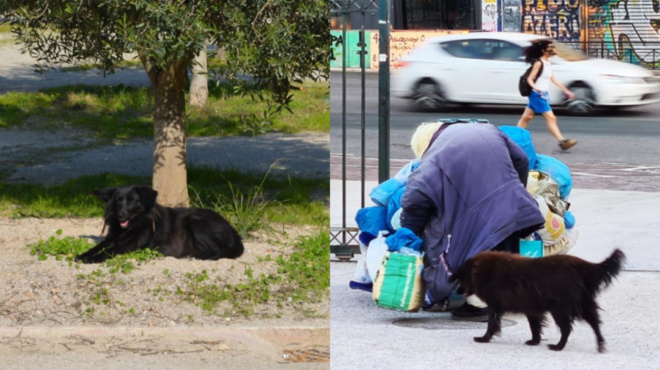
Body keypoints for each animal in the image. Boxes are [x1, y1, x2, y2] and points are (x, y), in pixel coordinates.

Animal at [75, 185, 245, 264]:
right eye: (118, 201)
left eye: (132, 201)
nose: (120, 215)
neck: (133, 225)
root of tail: (234, 232)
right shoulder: (111, 238)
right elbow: (97, 247)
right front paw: (83, 255)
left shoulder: (130, 245)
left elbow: (109, 251)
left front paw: (92, 259)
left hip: (195, 221)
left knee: (216, 250)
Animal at [448, 249, 624, 352]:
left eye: (461, 278)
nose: (459, 292)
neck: (485, 271)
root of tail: (582, 265)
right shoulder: (531, 309)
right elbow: (535, 327)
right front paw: (534, 341)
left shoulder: (495, 306)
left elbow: (492, 324)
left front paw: (484, 339)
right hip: (582, 305)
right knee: (595, 323)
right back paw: (600, 344)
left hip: (560, 309)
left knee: (567, 328)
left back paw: (558, 347)